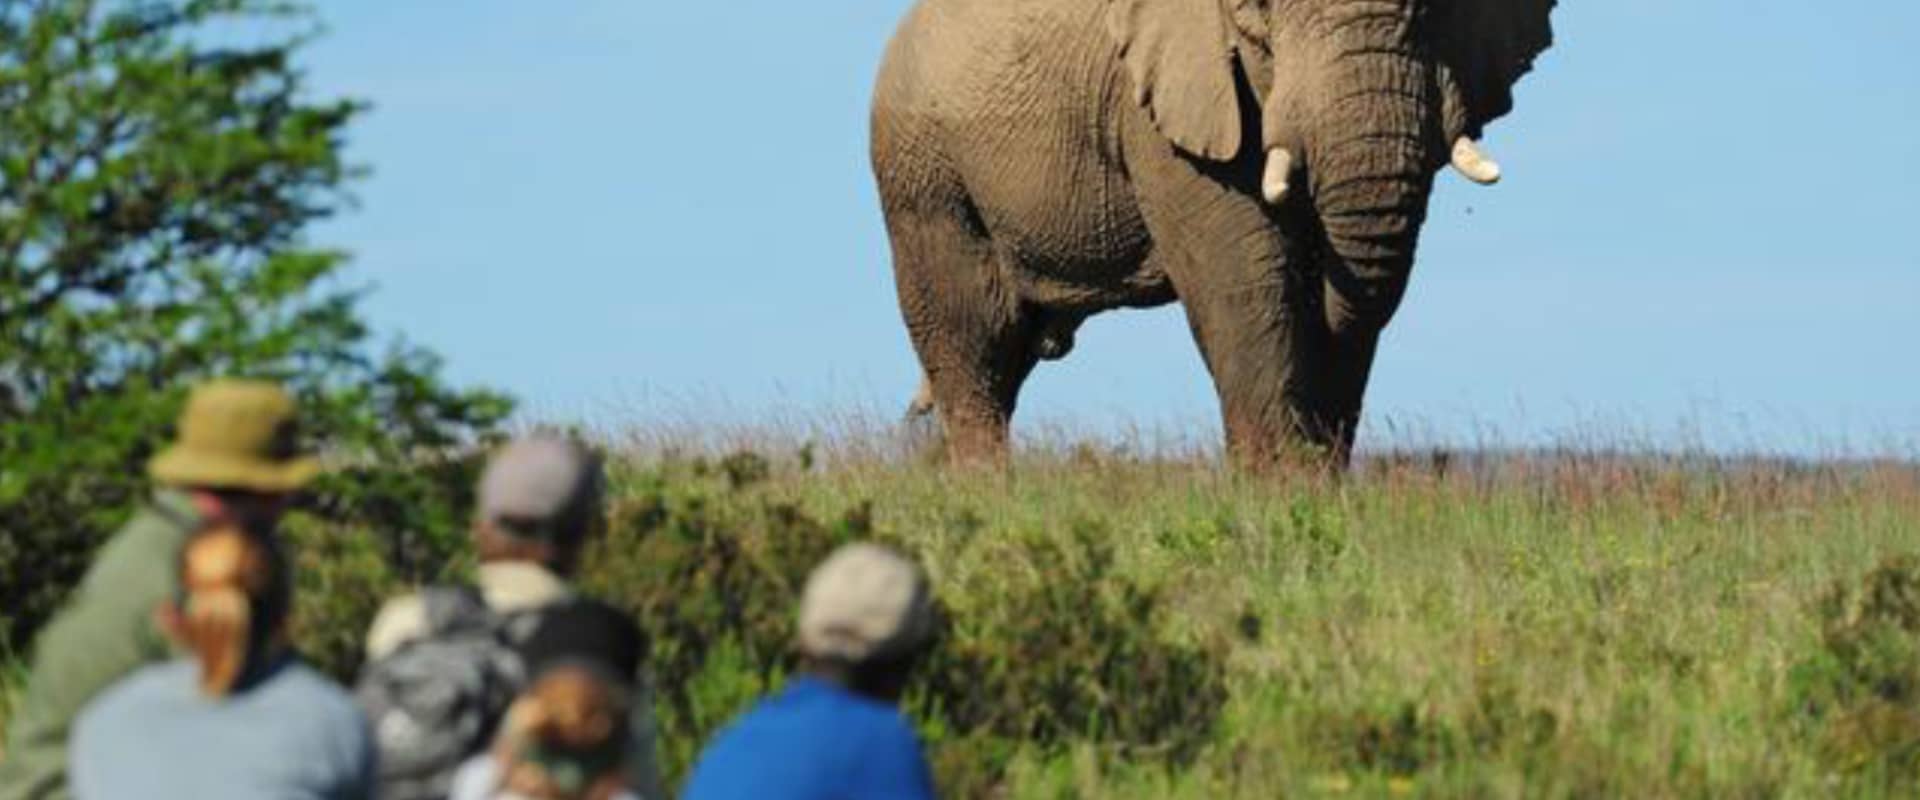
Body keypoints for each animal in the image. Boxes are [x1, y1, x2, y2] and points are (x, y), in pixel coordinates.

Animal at [871, 0, 1559, 464]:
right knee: (974, 344)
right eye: (1260, 11)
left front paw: (1318, 485)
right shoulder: (1163, 109)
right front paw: (1281, 495)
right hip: (923, 173)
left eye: (1431, 11)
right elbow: (1245, 288)